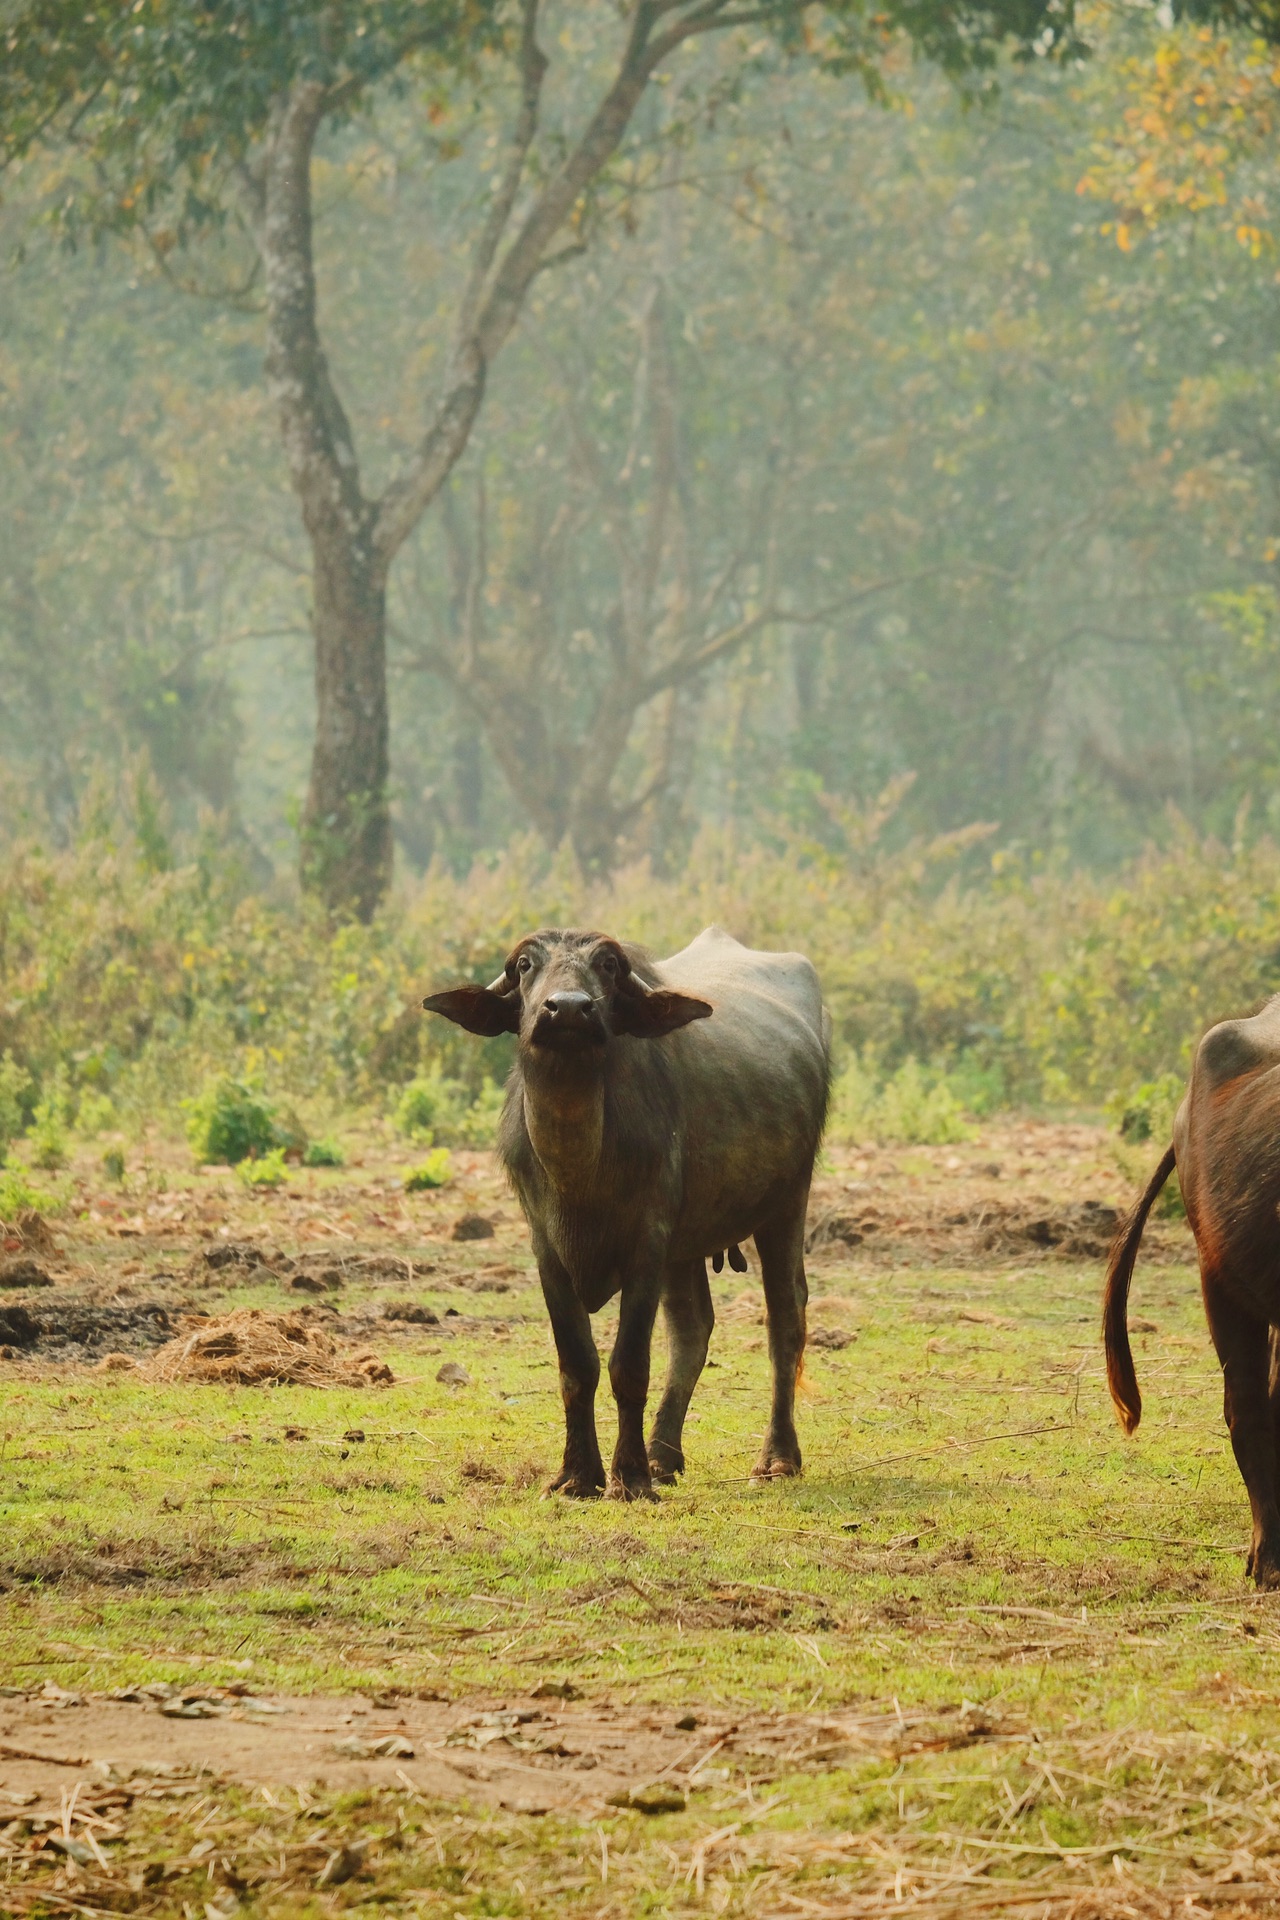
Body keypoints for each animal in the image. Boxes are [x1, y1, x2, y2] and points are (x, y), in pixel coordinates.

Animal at [422, 925, 832, 1497]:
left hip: (787, 1201)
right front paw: (577, 1476)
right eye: (525, 965)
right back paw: (664, 1454)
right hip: (687, 1244)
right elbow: (577, 1365)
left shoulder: (647, 1243)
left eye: (609, 966)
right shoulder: (548, 1253)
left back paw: (776, 1457)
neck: (580, 1170)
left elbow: (629, 1365)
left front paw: (630, 1479)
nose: (569, 1008)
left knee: (785, 1319)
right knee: (692, 1329)